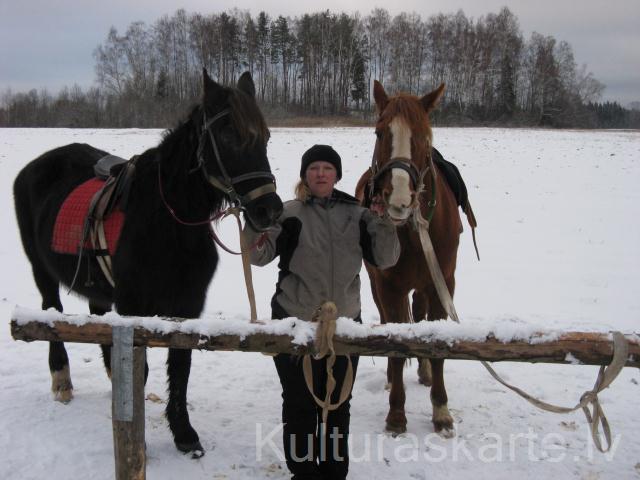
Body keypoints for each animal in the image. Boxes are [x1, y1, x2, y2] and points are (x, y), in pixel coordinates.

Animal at [11, 70, 282, 458]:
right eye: (229, 135)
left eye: (266, 137)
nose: (269, 210)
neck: (167, 220)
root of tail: (33, 167)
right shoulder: (132, 305)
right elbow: (141, 366)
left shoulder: (187, 303)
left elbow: (180, 366)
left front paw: (184, 433)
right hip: (41, 271)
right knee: (51, 315)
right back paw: (62, 380)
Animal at [356, 80, 476, 436]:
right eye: (380, 132)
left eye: (424, 135)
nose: (398, 199)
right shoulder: (389, 287)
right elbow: (396, 346)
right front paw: (396, 413)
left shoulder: (442, 284)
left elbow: (436, 346)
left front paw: (441, 410)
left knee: (421, 318)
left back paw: (423, 373)